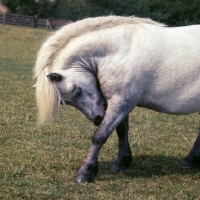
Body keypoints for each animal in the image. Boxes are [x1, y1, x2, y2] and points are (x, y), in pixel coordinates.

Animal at [34, 16, 200, 183]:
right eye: (68, 102)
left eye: (78, 91)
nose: (97, 118)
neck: (120, 53)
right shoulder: (118, 104)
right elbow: (121, 130)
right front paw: (122, 161)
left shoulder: (121, 103)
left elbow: (100, 136)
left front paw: (85, 172)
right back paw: (190, 160)